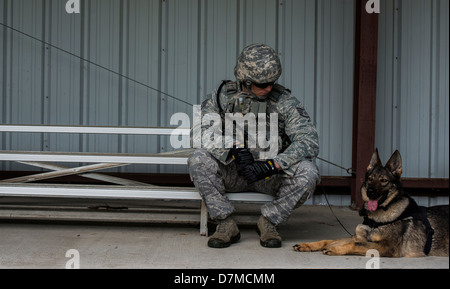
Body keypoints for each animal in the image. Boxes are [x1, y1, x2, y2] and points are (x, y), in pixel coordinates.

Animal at [294, 148, 448, 256]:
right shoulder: (358, 237)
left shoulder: (385, 246)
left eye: (384, 180)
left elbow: (356, 245)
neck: (378, 216)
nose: (370, 192)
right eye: (370, 179)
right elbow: (328, 240)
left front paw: (336, 249)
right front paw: (308, 245)